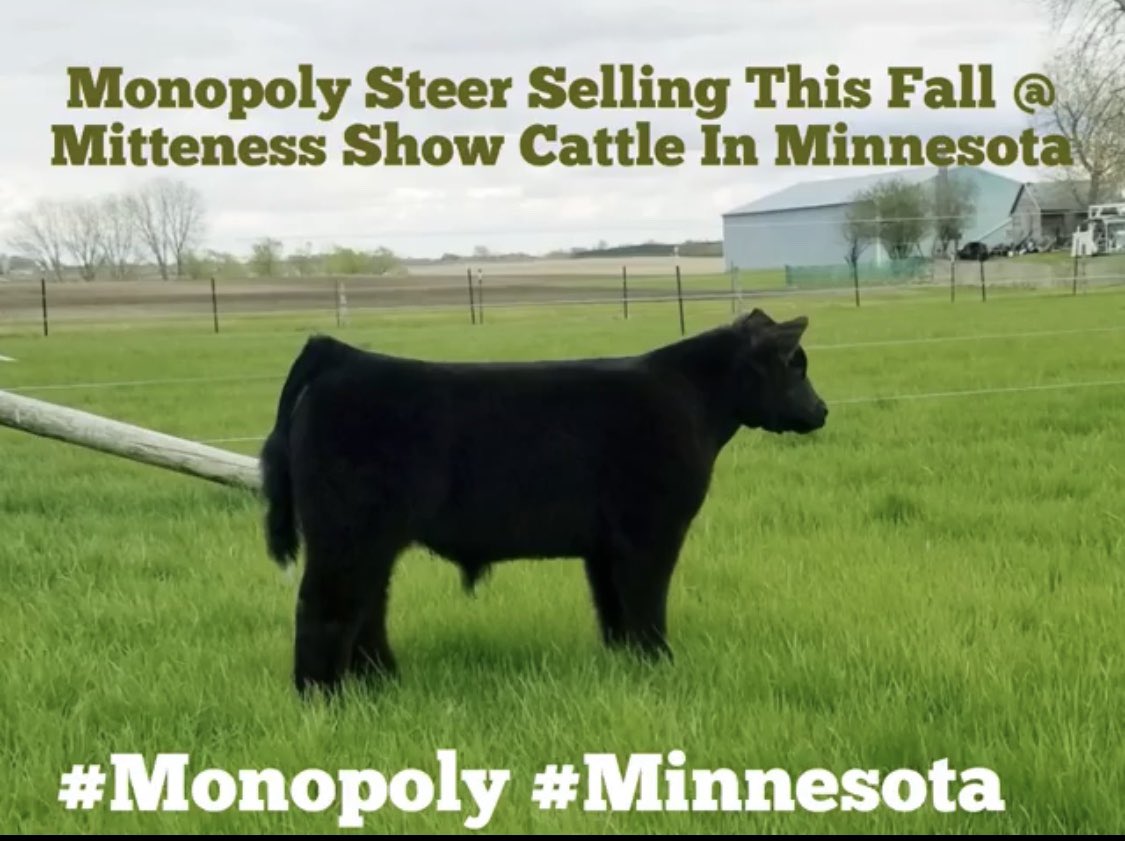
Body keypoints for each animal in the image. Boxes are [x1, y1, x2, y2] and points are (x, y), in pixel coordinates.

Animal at [259, 308, 828, 695]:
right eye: (795, 366)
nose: (822, 410)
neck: (691, 401)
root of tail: (343, 355)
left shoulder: (604, 547)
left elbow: (614, 610)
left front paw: (626, 666)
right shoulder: (651, 533)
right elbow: (646, 603)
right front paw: (660, 663)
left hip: (371, 543)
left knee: (367, 607)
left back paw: (380, 684)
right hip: (346, 537)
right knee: (325, 608)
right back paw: (322, 699)